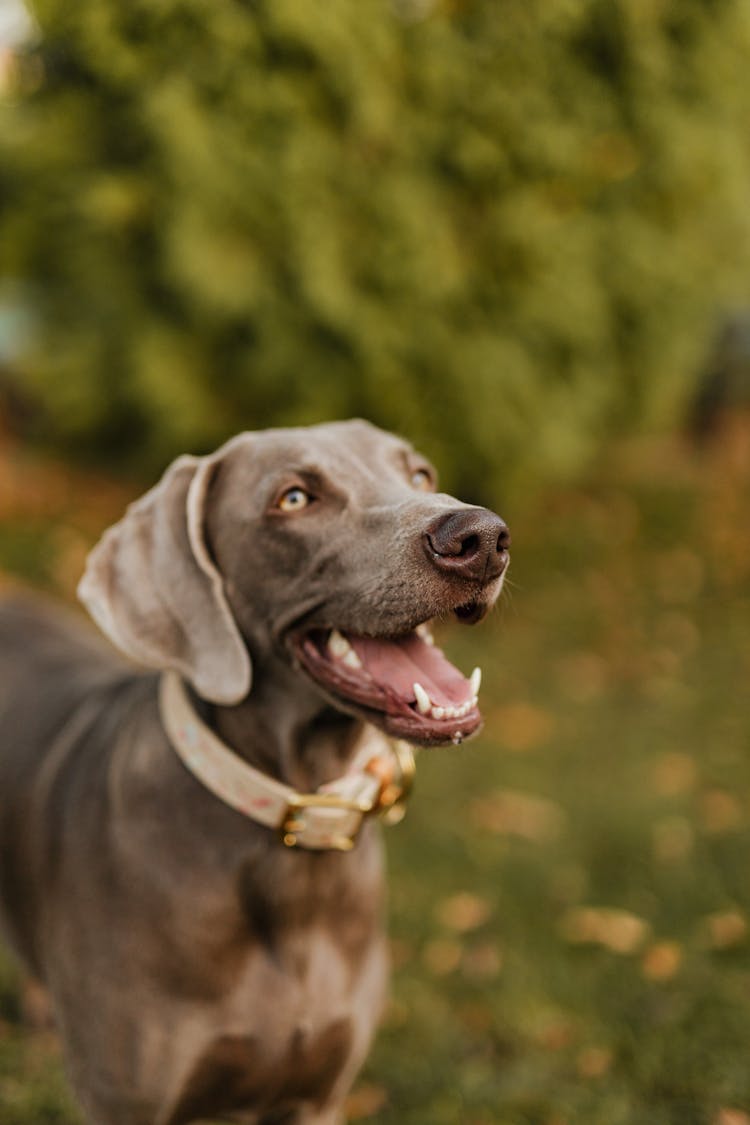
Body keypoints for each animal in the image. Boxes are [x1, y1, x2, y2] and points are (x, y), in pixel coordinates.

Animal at [0, 423, 510, 1125]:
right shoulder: (125, 1101)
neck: (297, 843)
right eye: (293, 498)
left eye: (421, 474)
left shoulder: (317, 1096)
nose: (480, 537)